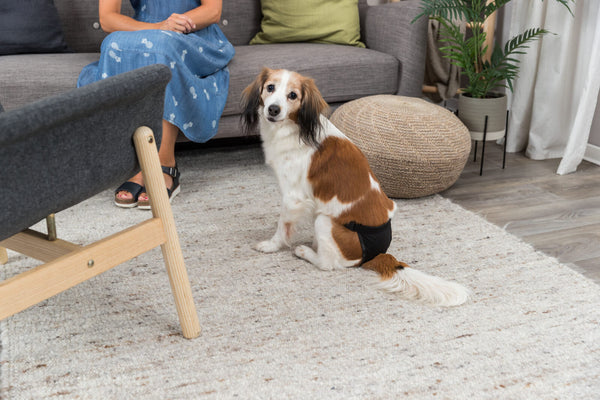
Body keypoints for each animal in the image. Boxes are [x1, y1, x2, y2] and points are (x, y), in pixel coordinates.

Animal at [240, 69, 468, 306]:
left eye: (293, 95)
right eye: (270, 87)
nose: (273, 109)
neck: (295, 127)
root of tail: (379, 254)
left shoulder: (293, 197)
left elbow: (282, 227)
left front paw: (271, 245)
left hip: (325, 222)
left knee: (329, 264)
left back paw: (305, 252)